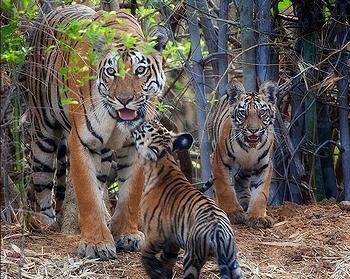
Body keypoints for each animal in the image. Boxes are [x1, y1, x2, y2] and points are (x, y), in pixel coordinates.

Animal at [24, 3, 168, 260]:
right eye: (111, 72)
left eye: (140, 70)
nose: (124, 100)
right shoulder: (82, 141)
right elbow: (88, 195)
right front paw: (97, 243)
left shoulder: (136, 145)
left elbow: (131, 193)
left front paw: (126, 234)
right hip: (43, 134)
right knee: (42, 179)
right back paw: (46, 223)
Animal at [132, 121, 243, 279]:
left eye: (143, 129)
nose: (138, 123)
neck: (165, 159)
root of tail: (219, 233)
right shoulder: (172, 242)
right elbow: (167, 260)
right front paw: (162, 272)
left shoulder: (155, 235)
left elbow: (145, 254)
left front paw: (153, 271)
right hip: (232, 258)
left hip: (192, 257)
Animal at [209, 80, 278, 229]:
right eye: (243, 113)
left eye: (262, 112)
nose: (253, 130)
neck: (250, 148)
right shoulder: (220, 160)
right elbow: (225, 188)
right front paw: (233, 213)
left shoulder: (264, 165)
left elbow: (261, 193)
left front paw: (258, 217)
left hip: (249, 166)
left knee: (240, 178)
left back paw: (246, 201)